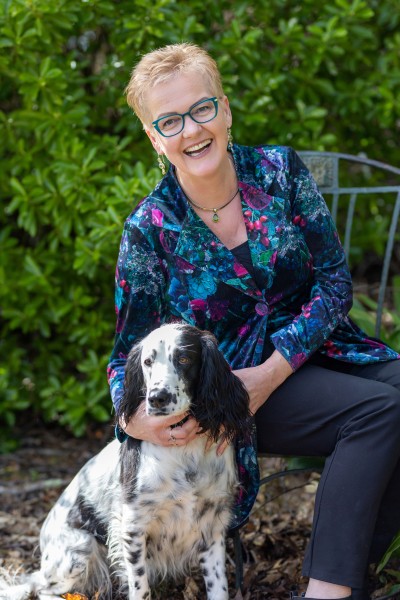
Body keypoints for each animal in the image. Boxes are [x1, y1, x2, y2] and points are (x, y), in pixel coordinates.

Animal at [0, 326, 250, 596]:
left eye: (184, 359)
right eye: (148, 361)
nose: (157, 398)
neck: (185, 453)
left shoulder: (212, 526)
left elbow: (218, 587)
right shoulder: (132, 526)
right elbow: (140, 587)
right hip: (78, 550)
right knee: (44, 589)